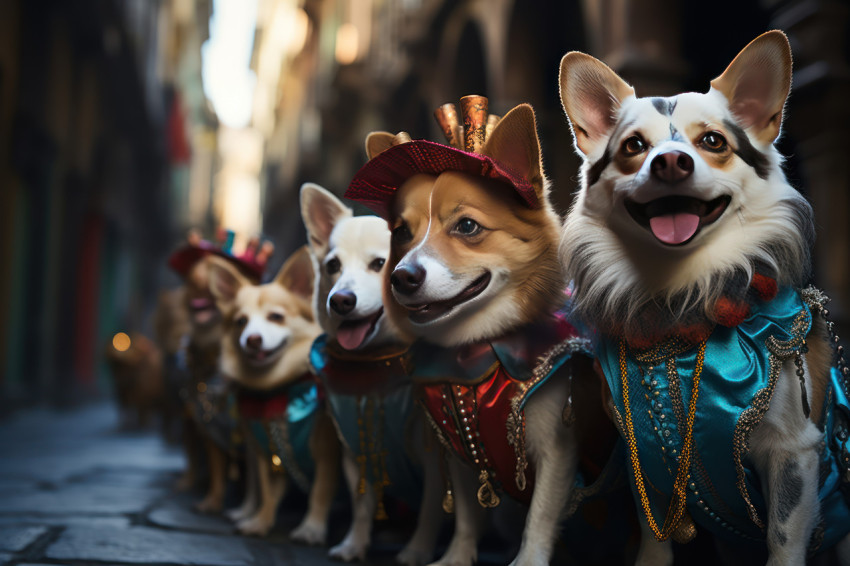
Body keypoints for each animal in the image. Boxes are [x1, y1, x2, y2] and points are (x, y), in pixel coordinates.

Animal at [207, 247, 340, 540]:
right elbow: (267, 491)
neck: (275, 389)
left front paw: (311, 528)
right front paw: (261, 521)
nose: (252, 339)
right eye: (240, 322)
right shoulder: (266, 453)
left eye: (276, 317)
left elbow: (321, 490)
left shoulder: (326, 451)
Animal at [300, 184, 444, 564]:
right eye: (333, 266)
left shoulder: (436, 456)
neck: (379, 362)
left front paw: (417, 551)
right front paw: (354, 544)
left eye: (380, 264)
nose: (340, 300)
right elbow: (363, 504)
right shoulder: (357, 447)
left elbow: (431, 508)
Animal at [342, 102, 608, 566]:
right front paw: (455, 557)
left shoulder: (557, 448)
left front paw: (527, 561)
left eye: (467, 226)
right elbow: (466, 513)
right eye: (401, 232)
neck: (476, 351)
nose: (400, 277)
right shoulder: (460, 450)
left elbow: (540, 516)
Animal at [556, 30, 848, 566]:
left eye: (712, 141)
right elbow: (654, 538)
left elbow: (783, 540)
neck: (683, 302)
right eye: (634, 147)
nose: (670, 161)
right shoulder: (644, 452)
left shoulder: (794, 452)